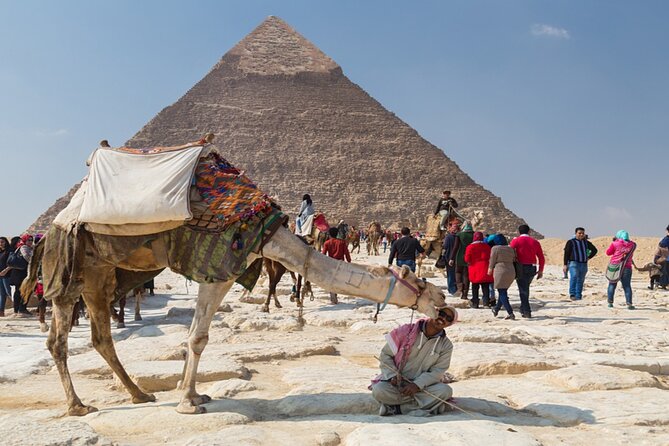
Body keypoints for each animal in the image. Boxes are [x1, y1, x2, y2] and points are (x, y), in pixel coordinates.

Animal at [22, 139, 447, 417]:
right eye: (421, 284)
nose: (444, 306)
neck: (268, 233)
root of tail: (54, 225)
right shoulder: (219, 269)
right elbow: (197, 338)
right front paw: (188, 403)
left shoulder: (225, 270)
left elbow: (195, 335)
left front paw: (190, 394)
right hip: (69, 267)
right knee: (59, 338)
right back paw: (78, 405)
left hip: (100, 274)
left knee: (100, 336)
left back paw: (139, 395)